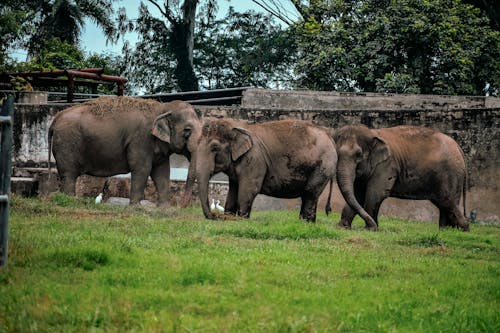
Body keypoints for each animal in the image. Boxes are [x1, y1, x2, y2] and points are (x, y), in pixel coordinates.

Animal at [48, 95, 201, 205]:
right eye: (187, 131)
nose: (181, 206)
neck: (163, 107)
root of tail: (56, 118)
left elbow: (162, 172)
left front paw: (165, 209)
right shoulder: (141, 138)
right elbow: (142, 168)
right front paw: (136, 207)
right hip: (67, 142)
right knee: (69, 174)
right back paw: (69, 201)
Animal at [193, 116, 338, 220]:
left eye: (214, 148)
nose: (214, 216)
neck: (236, 126)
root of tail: (330, 137)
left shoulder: (254, 159)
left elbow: (249, 189)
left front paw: (241, 220)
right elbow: (233, 190)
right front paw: (229, 217)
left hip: (322, 167)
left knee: (310, 193)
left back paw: (305, 223)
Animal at [332, 123, 468, 230]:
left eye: (358, 155)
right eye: (336, 153)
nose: (372, 225)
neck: (372, 132)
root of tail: (459, 148)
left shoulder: (387, 165)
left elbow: (375, 194)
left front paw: (369, 229)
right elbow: (357, 194)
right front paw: (343, 227)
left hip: (451, 174)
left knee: (447, 200)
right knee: (444, 203)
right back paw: (445, 230)